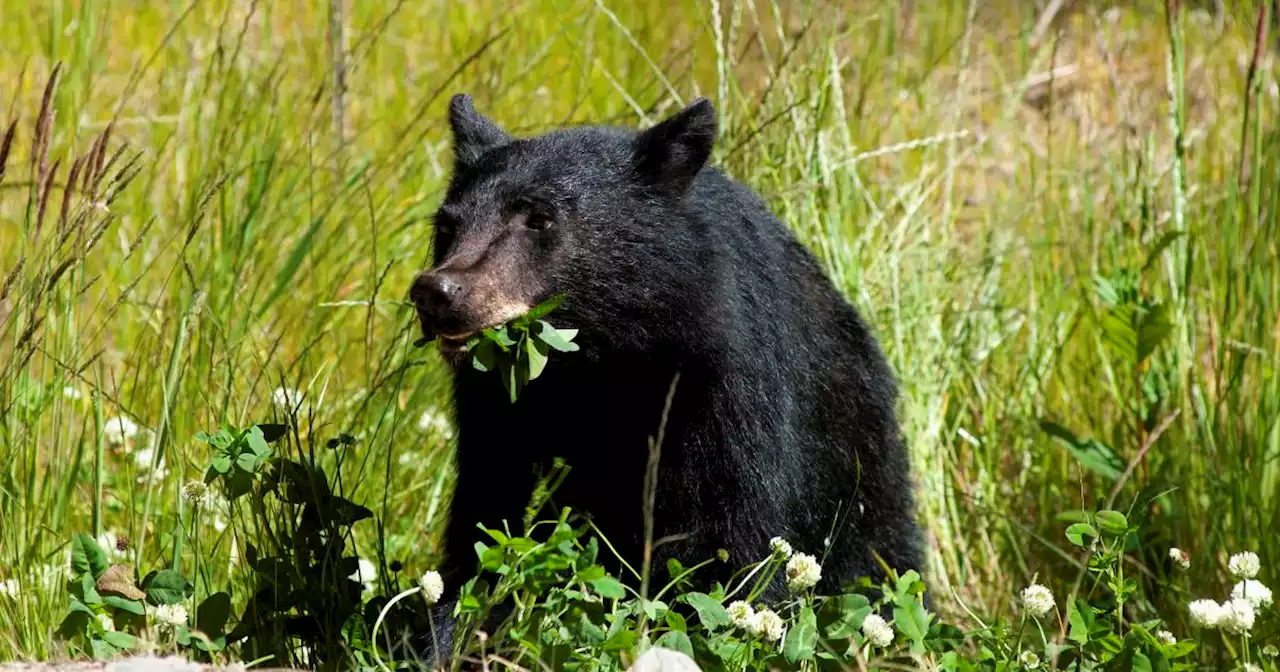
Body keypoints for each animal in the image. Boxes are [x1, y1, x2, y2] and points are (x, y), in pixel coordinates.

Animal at [409, 92, 921, 645]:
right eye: (446, 225)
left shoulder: (724, 390)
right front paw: (448, 637)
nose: (438, 292)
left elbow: (734, 537)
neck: (599, 365)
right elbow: (485, 520)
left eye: (539, 218)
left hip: (862, 479)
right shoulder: (495, 408)